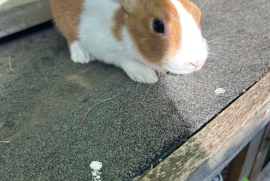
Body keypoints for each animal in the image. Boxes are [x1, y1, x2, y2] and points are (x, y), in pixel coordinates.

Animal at [49, 0, 208, 83]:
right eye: (158, 25)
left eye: (196, 12)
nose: (198, 62)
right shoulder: (103, 47)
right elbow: (124, 59)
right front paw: (146, 76)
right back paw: (81, 56)